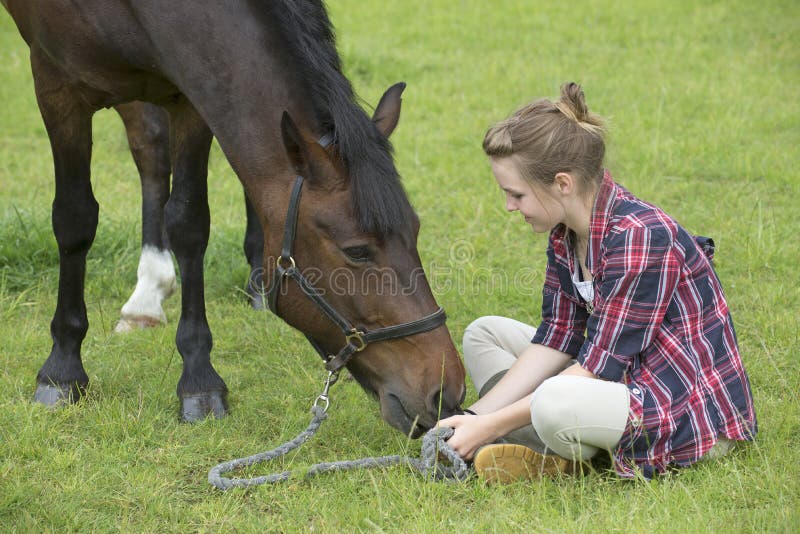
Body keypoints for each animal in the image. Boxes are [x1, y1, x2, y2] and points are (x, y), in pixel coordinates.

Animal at [1, 0, 462, 436]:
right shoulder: (55, 83)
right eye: (358, 250)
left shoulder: (191, 90)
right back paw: (145, 296)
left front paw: (198, 378)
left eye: (415, 231)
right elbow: (75, 219)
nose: (446, 393)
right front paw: (62, 370)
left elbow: (189, 222)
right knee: (149, 147)